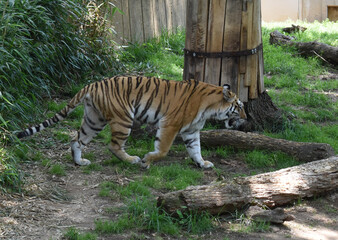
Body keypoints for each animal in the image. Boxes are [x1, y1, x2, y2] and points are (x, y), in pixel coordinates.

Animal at [17, 76, 247, 169]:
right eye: (239, 106)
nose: (246, 119)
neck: (210, 108)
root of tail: (92, 84)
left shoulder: (191, 131)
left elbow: (196, 149)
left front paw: (202, 163)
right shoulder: (170, 124)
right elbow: (163, 149)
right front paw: (147, 160)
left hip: (94, 120)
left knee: (76, 140)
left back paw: (79, 162)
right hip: (123, 119)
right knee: (113, 146)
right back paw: (131, 160)